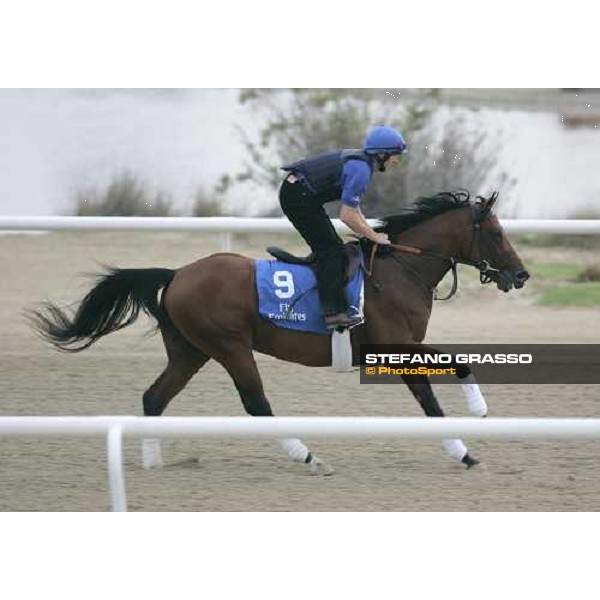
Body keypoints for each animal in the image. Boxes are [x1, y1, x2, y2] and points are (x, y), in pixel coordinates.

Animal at [29, 192, 528, 474]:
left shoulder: (406, 345)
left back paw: (153, 463)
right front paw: (463, 451)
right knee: (256, 404)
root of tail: (177, 274)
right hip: (229, 346)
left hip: (190, 351)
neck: (399, 270)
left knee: (155, 398)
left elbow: (458, 363)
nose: (521, 275)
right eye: (496, 232)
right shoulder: (392, 348)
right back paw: (306, 457)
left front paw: (479, 410)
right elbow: (430, 402)